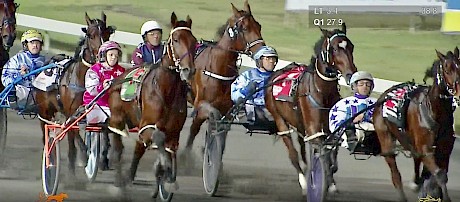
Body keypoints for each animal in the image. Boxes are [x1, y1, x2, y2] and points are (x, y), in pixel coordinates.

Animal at [34, 11, 115, 178]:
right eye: (90, 34)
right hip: (44, 112)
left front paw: (103, 158)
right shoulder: (71, 112)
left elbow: (103, 130)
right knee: (48, 133)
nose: (104, 55)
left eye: (108, 33)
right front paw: (83, 157)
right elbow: (74, 136)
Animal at [108, 12, 198, 188]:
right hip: (117, 119)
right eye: (176, 39)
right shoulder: (148, 125)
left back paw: (130, 175)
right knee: (118, 147)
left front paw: (168, 177)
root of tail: (119, 77)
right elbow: (157, 140)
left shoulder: (173, 133)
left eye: (194, 41)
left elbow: (169, 151)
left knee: (138, 146)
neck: (166, 90)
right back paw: (119, 179)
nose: (188, 70)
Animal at [183, 0, 264, 156]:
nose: (262, 53)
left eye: (259, 26)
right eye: (244, 28)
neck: (219, 69)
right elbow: (193, 130)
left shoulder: (227, 112)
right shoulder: (201, 108)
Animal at [264, 24, 358, 191]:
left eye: (351, 46)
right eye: (334, 49)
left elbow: (332, 152)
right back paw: (303, 180)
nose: (350, 74)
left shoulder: (328, 128)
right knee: (293, 152)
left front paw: (331, 180)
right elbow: (322, 153)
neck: (323, 91)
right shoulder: (314, 129)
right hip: (280, 120)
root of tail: (274, 76)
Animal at [374, 49, 460, 202]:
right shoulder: (426, 148)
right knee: (395, 173)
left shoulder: (445, 148)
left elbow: (441, 173)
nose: (459, 88)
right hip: (386, 139)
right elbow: (440, 174)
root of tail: (383, 96)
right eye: (447, 69)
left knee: (416, 158)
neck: (434, 110)